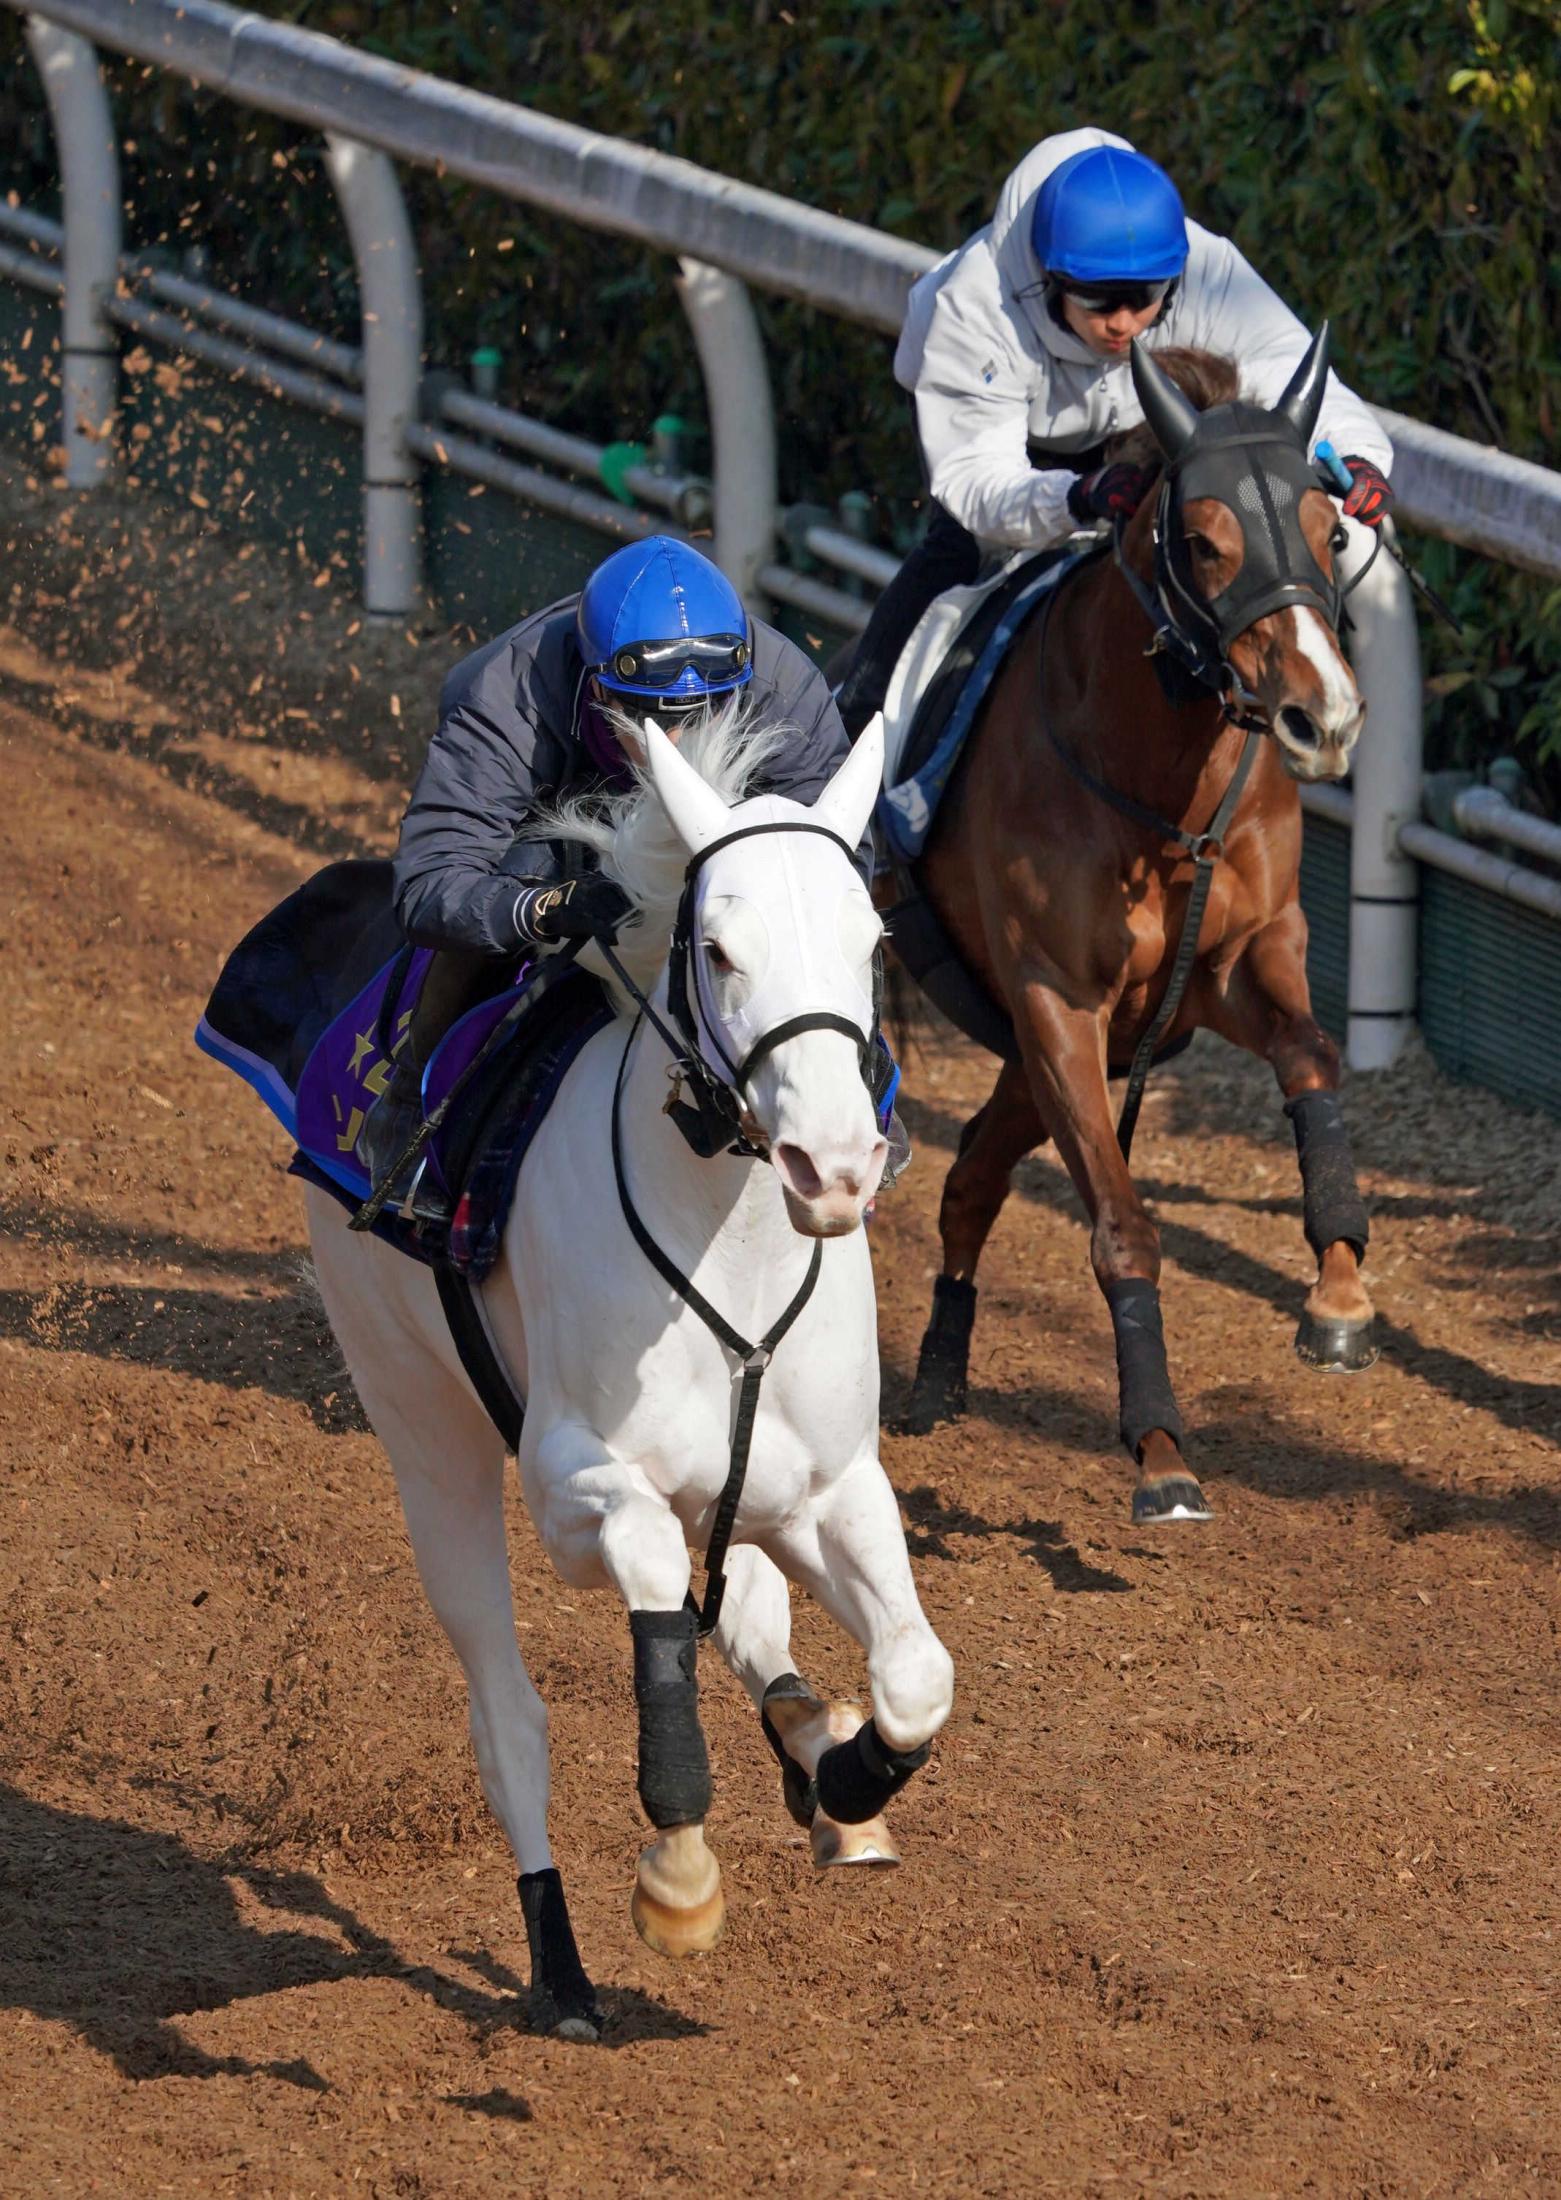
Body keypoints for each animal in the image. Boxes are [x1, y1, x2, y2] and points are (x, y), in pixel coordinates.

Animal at [305, 704, 954, 2041]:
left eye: (868, 940)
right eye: (717, 947)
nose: (832, 1165)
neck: (732, 1255)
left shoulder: (830, 1487)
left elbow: (917, 1671)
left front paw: (847, 1773)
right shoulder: (572, 1485)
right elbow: (654, 1578)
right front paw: (680, 1874)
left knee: (751, 1612)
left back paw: (810, 1741)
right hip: (423, 1430)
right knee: (509, 1716)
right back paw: (560, 1969)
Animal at [892, 330, 1380, 1531]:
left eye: (1330, 527)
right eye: (1201, 543)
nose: (1323, 719)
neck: (1155, 794)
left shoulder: (1238, 960)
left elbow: (1312, 1056)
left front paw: (1338, 1293)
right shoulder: (1057, 1004)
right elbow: (1120, 1223)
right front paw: (1157, 1448)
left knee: (970, 1175)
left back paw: (938, 1375)